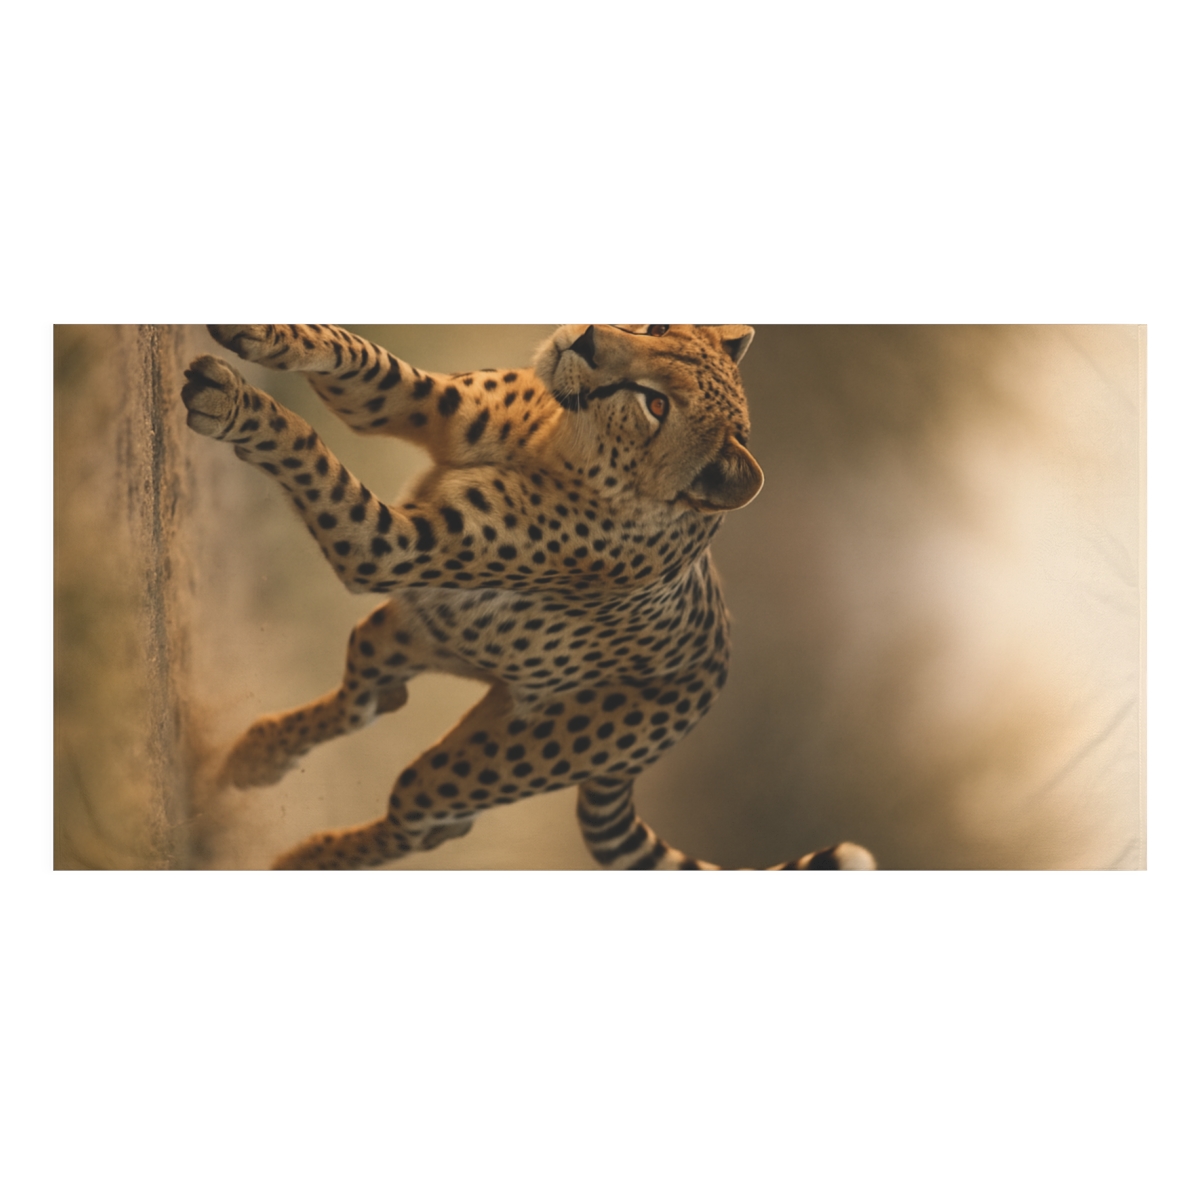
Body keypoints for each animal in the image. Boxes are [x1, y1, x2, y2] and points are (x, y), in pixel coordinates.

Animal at [181, 323, 876, 870]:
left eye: (655, 405)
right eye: (655, 328)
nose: (586, 337)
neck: (560, 443)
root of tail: (720, 673)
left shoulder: (388, 547)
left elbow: (311, 452)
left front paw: (235, 404)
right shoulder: (421, 403)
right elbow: (359, 355)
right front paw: (263, 333)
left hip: (495, 762)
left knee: (421, 820)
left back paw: (297, 858)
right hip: (409, 630)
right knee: (370, 700)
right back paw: (257, 757)